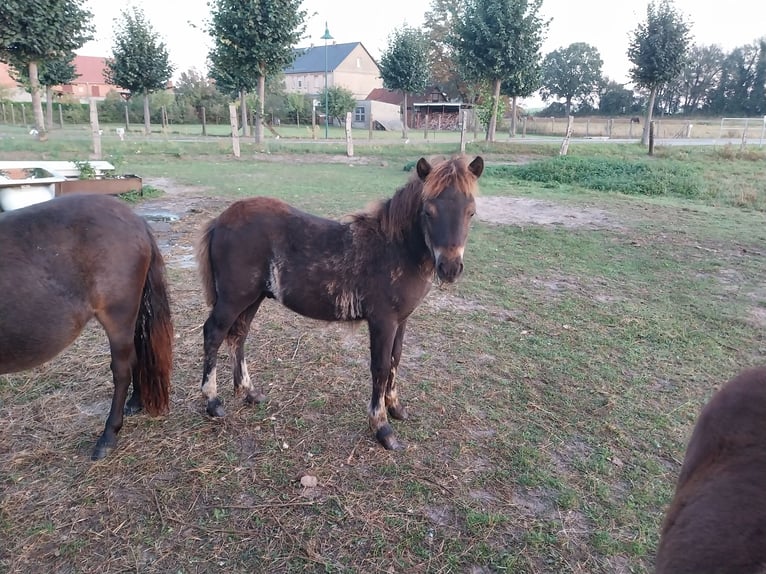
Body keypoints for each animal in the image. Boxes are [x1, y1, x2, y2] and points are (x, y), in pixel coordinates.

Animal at [198, 155, 486, 452]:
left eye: (471, 212)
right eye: (428, 212)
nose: (450, 268)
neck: (396, 249)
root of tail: (220, 220)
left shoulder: (402, 319)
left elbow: (396, 359)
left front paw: (395, 408)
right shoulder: (383, 321)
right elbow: (381, 367)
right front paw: (382, 428)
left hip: (252, 298)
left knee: (238, 336)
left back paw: (248, 392)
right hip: (233, 297)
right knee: (214, 333)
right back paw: (213, 402)